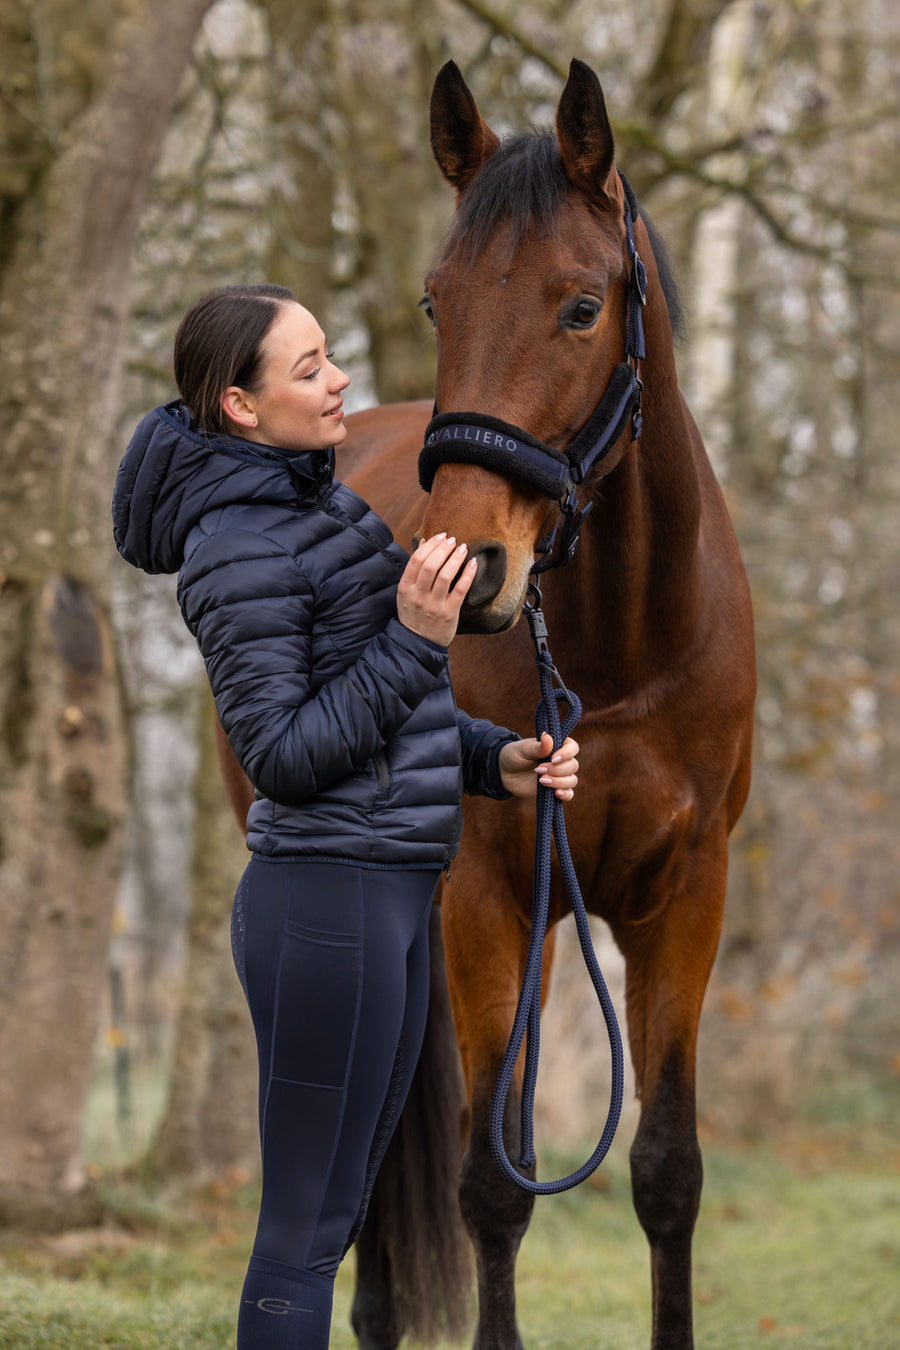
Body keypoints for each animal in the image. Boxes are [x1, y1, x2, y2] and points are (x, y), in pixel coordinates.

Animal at [218, 57, 756, 1350]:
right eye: (437, 304)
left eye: (581, 307)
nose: (468, 573)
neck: (622, 648)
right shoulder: (485, 902)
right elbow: (491, 1189)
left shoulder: (686, 898)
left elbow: (667, 1172)